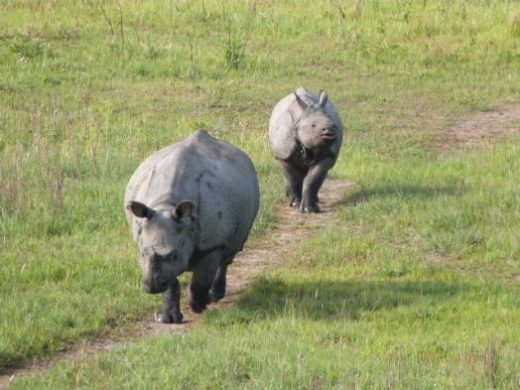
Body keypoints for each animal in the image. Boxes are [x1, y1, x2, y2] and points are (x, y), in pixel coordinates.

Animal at [124, 130, 258, 322]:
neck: (167, 205)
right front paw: (168, 319)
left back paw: (215, 296)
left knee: (228, 254)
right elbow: (171, 281)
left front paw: (199, 307)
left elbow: (200, 280)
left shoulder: (212, 242)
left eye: (173, 255)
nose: (151, 287)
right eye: (142, 254)